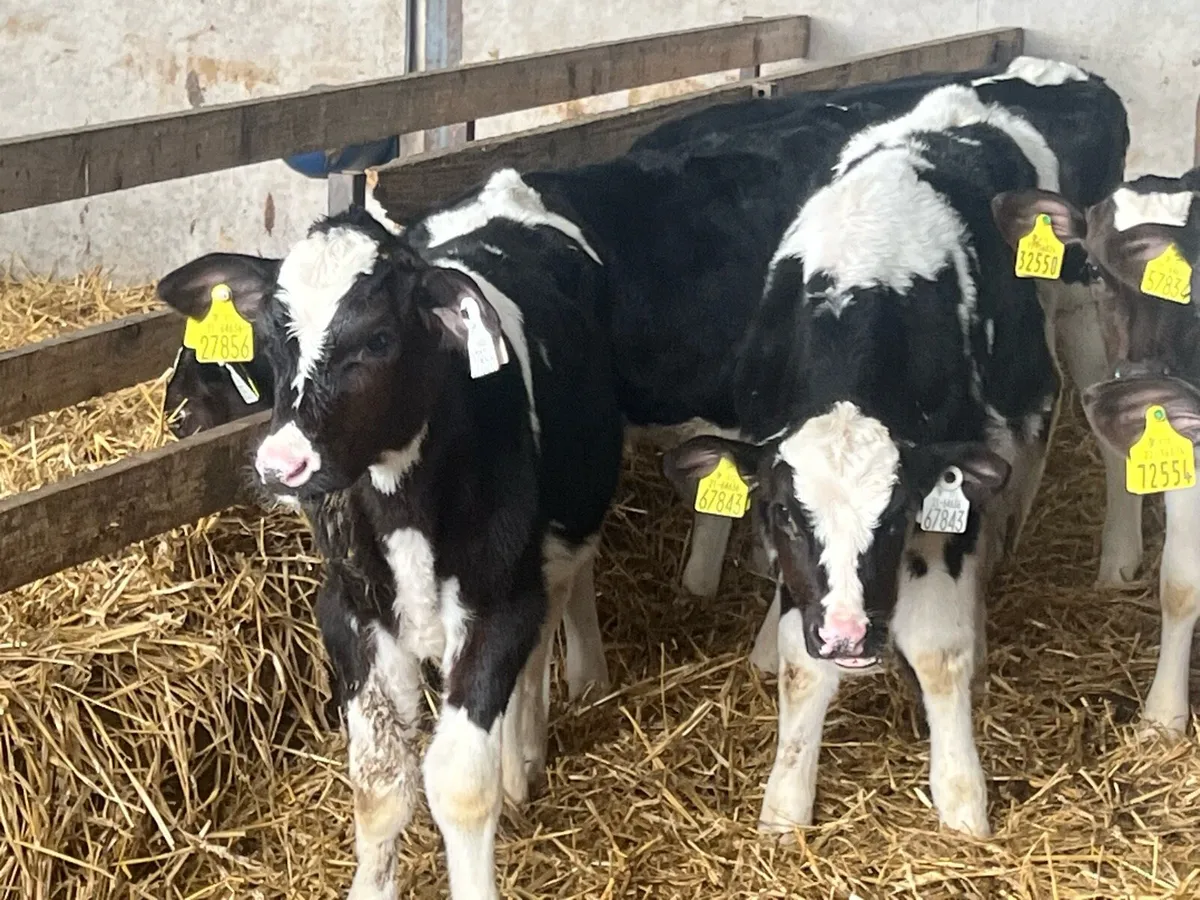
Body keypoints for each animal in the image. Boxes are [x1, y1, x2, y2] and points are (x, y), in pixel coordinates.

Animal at [154, 197, 623, 900]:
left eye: (378, 339)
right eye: (273, 337)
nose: (281, 464)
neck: (405, 510)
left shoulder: (499, 606)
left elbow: (461, 786)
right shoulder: (352, 613)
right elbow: (380, 784)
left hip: (564, 536)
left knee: (555, 616)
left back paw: (535, 743)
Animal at [663, 69, 1129, 837]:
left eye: (899, 512)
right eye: (783, 514)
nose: (850, 637)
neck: (861, 281)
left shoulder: (947, 485)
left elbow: (939, 650)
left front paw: (962, 800)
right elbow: (800, 660)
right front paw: (785, 805)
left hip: (1079, 308)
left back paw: (1108, 561)